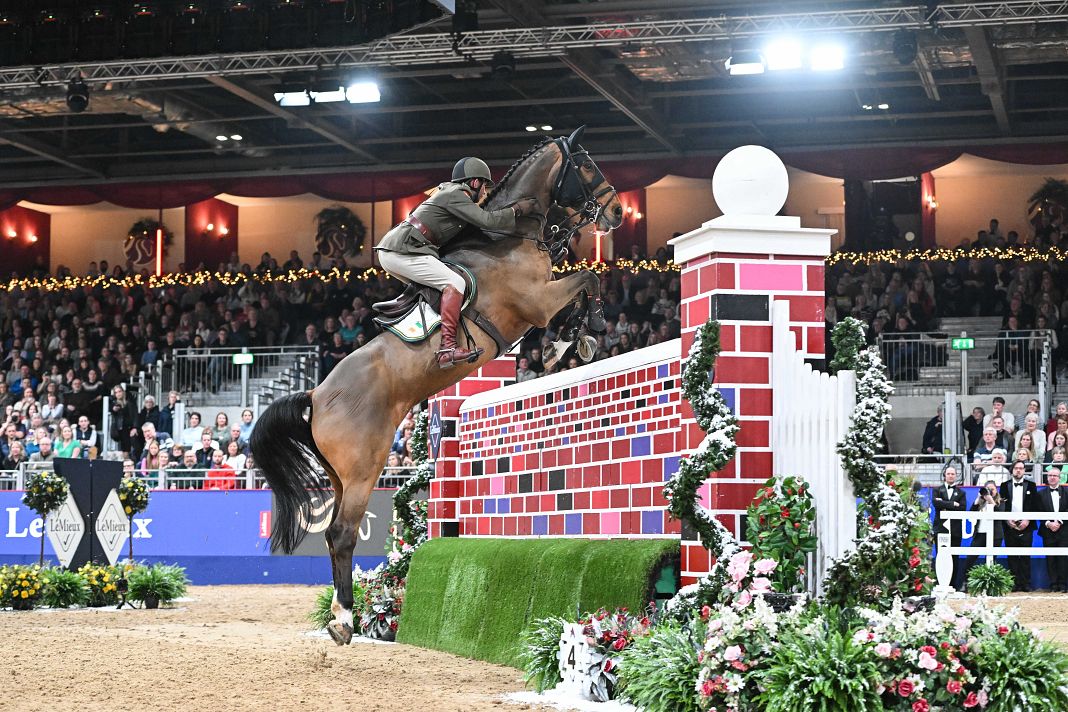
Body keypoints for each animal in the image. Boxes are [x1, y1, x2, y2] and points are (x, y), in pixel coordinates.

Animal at [251, 128, 623, 645]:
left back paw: (341, 617)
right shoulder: (537, 302)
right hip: (365, 468)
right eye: (586, 165)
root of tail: (317, 395)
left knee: (334, 534)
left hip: (339, 475)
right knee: (342, 533)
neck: (507, 235)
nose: (618, 213)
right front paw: (577, 338)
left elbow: (586, 284)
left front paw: (571, 342)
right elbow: (589, 280)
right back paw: (345, 621)